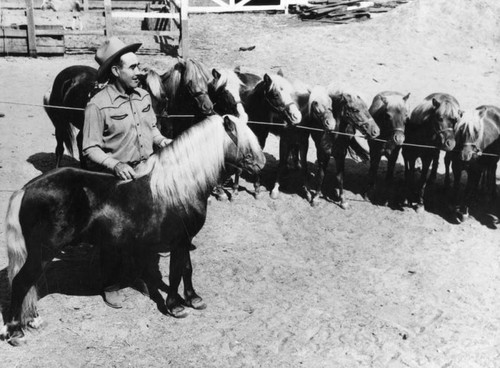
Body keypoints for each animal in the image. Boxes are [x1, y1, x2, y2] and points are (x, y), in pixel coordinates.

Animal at [0, 114, 266, 344]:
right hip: (42, 252)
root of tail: (26, 189)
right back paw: (15, 332)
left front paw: (194, 299)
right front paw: (176, 306)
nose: (261, 165)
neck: (179, 186)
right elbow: (176, 272)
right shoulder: (179, 242)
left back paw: (31, 320)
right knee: (22, 282)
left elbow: (187, 270)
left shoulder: (184, 240)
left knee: (29, 284)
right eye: (241, 140)